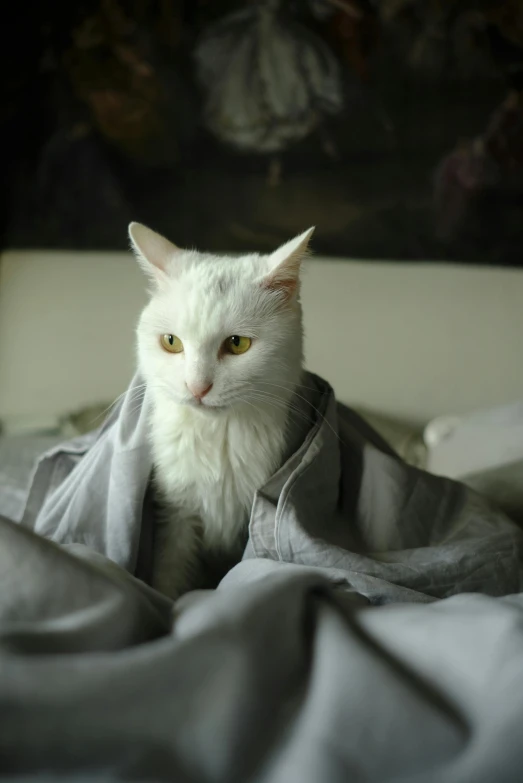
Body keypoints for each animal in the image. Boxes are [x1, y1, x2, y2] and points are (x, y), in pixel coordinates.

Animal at [130, 222, 316, 600]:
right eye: (171, 342)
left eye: (237, 344)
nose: (197, 387)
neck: (219, 438)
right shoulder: (178, 514)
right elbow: (171, 568)